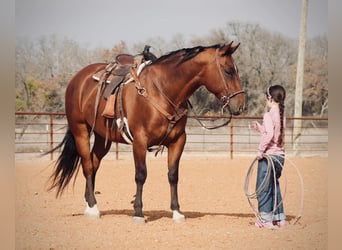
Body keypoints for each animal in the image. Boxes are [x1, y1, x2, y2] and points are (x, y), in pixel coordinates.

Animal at [48, 42, 246, 224]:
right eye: (229, 71)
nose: (241, 105)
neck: (162, 90)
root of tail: (77, 79)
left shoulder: (178, 141)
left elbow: (173, 175)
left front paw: (177, 212)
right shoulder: (140, 142)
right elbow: (141, 175)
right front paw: (138, 213)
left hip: (102, 137)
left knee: (94, 164)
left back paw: (90, 203)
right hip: (80, 130)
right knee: (88, 165)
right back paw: (93, 209)